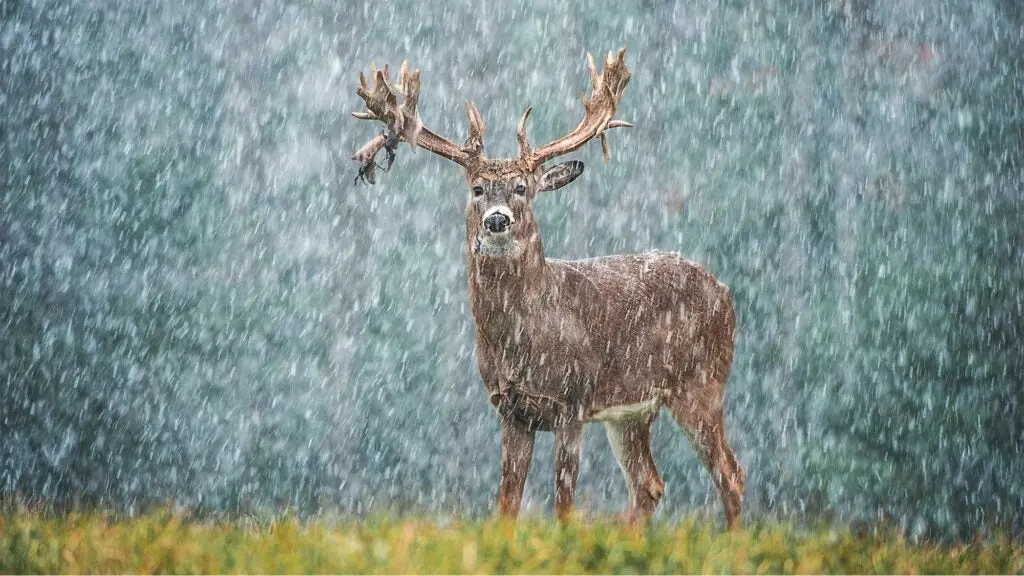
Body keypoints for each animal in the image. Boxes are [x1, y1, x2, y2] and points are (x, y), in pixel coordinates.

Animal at [350, 50, 745, 528]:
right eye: (477, 188)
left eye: (523, 188)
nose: (497, 220)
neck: (522, 343)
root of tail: (725, 292)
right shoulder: (510, 409)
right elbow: (506, 502)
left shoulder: (572, 402)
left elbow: (563, 503)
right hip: (632, 412)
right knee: (649, 485)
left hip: (702, 382)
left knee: (730, 474)